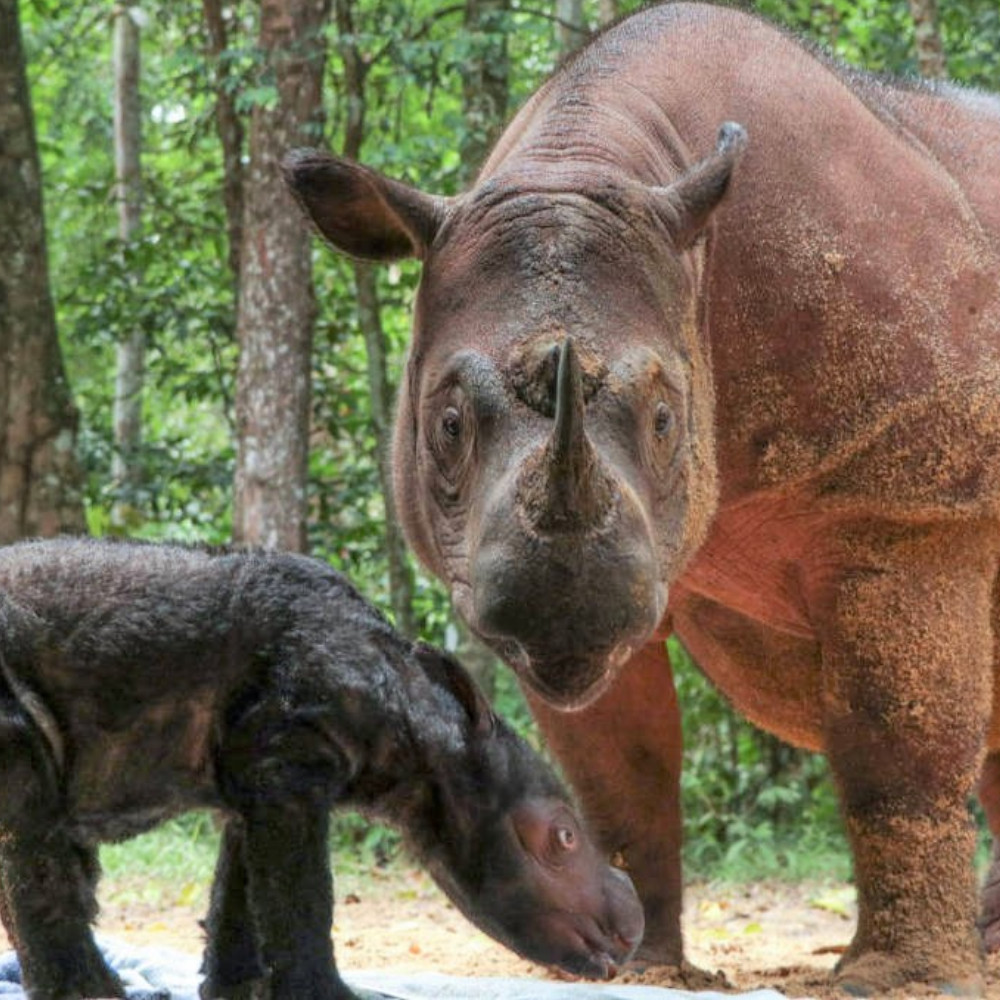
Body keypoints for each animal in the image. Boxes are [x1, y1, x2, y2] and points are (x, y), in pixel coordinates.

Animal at [0, 540, 640, 1000]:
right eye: (563, 838)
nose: (632, 929)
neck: (415, 720)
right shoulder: (291, 755)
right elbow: (301, 894)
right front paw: (330, 995)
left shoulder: (257, 769)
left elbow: (241, 890)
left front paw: (238, 990)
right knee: (31, 819)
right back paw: (93, 994)